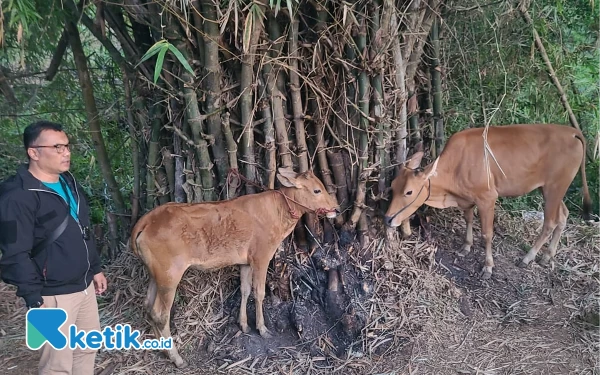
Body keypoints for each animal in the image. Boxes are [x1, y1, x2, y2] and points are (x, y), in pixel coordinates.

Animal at [129, 167, 340, 368]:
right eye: (317, 190)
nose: (336, 209)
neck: (278, 212)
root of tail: (147, 220)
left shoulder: (245, 261)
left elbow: (245, 290)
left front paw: (244, 325)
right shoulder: (261, 256)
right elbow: (259, 292)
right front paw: (262, 329)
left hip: (156, 275)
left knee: (148, 306)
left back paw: (162, 349)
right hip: (170, 276)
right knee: (160, 314)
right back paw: (176, 358)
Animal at [384, 123, 592, 280]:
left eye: (409, 191)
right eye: (392, 186)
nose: (387, 218)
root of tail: (571, 131)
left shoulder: (487, 198)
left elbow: (487, 234)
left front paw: (488, 267)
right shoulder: (467, 198)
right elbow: (468, 220)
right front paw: (466, 247)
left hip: (554, 188)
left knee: (550, 222)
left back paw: (528, 257)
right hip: (551, 189)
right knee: (563, 215)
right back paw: (547, 256)